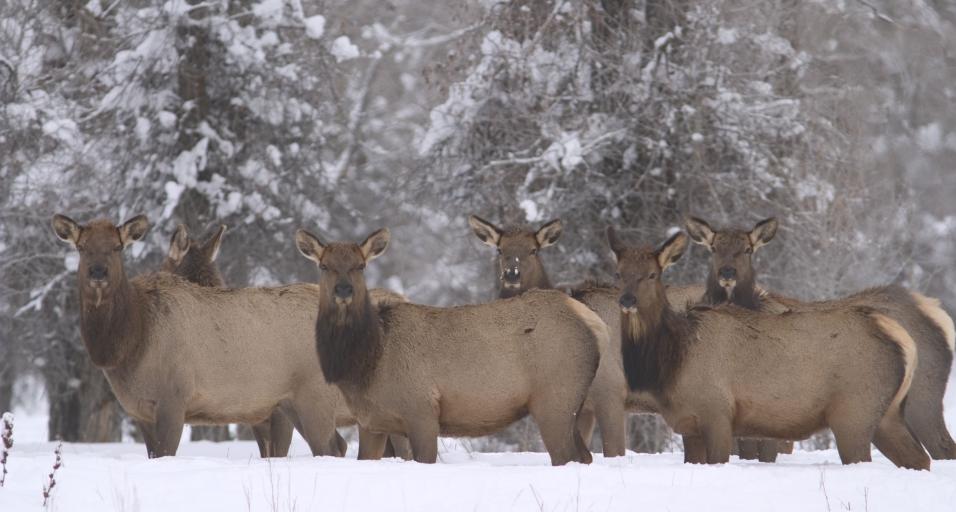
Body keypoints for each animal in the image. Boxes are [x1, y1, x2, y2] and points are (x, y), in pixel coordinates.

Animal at [50, 213, 405, 459]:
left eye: (117, 246)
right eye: (81, 247)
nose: (98, 272)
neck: (129, 344)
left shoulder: (174, 397)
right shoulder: (139, 410)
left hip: (315, 397)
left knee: (335, 448)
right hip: (296, 402)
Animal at [294, 226, 607, 465]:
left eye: (360, 266)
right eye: (324, 266)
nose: (343, 290)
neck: (367, 363)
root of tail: (593, 323)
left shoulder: (421, 410)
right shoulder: (371, 422)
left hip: (555, 399)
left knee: (567, 457)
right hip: (570, 404)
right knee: (585, 457)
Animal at [606, 226, 930, 470]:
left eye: (652, 274)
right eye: (618, 273)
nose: (627, 300)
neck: (672, 359)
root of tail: (903, 338)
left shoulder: (717, 413)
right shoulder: (688, 423)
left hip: (854, 413)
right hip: (887, 413)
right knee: (920, 459)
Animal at [684, 216, 956, 460]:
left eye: (747, 249)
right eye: (713, 248)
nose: (727, 272)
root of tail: (935, 310)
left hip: (921, 400)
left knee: (943, 448)